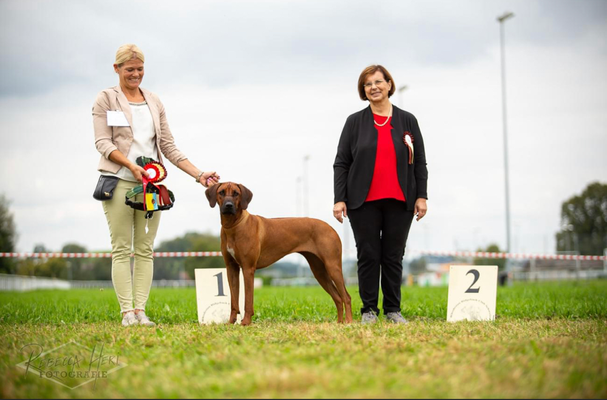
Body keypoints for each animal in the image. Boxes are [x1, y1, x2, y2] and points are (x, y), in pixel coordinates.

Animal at [207, 181, 354, 324]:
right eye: (221, 192)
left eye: (236, 193)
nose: (228, 205)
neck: (233, 225)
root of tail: (330, 227)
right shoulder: (231, 268)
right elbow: (234, 301)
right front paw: (231, 322)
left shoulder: (248, 268)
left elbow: (248, 300)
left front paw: (246, 322)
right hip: (319, 271)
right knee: (337, 297)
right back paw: (339, 323)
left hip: (332, 266)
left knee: (346, 296)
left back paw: (348, 322)